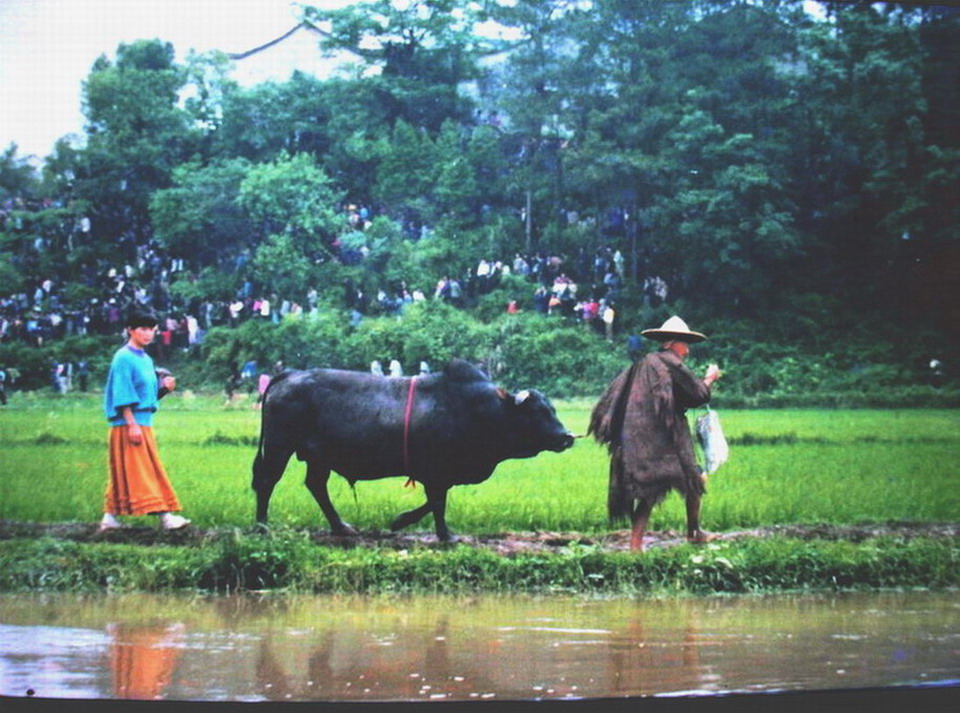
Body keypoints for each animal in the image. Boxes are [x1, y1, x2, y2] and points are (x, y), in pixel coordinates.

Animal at [251, 358, 572, 536]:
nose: (566, 436)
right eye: (537, 412)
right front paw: (440, 534)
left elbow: (436, 501)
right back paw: (262, 526)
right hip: (279, 448)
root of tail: (290, 374)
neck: (485, 411)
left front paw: (404, 522)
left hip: (319, 457)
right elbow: (438, 503)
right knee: (267, 482)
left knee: (316, 486)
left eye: (552, 409)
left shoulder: (441, 474)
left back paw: (340, 527)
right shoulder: (434, 470)